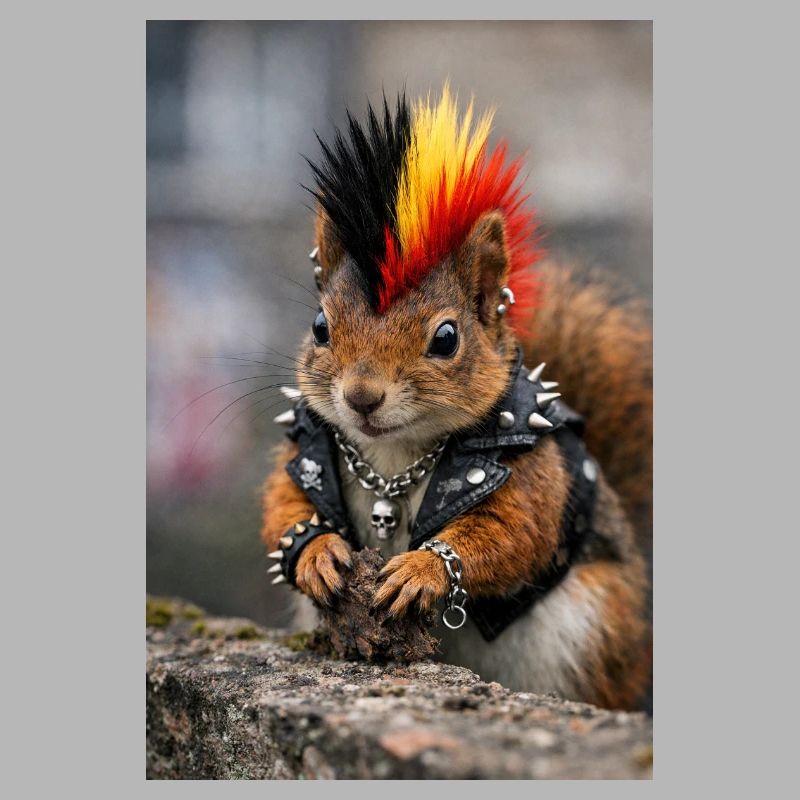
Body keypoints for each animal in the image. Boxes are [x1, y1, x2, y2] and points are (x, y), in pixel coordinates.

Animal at [261, 86, 652, 711]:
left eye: (446, 338)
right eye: (320, 326)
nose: (361, 396)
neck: (395, 456)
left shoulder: (531, 472)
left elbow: (511, 531)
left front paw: (423, 569)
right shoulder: (308, 444)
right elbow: (283, 503)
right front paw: (317, 551)